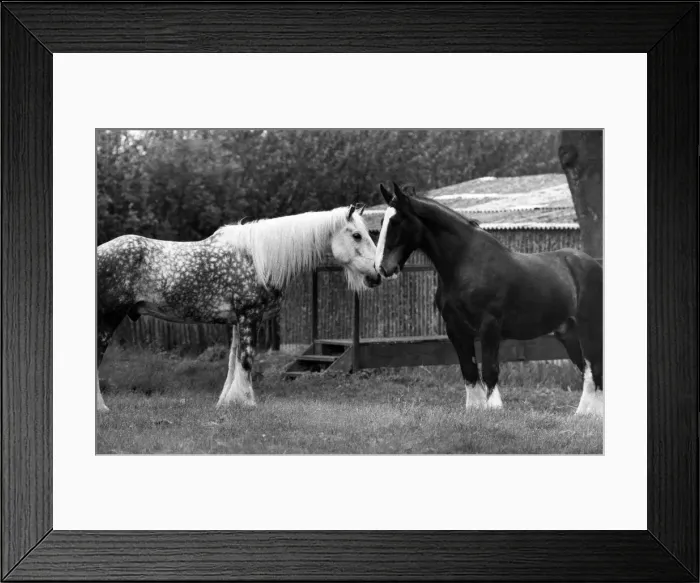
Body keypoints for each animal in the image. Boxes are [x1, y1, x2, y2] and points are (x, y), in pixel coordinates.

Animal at [97, 204, 381, 412]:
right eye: (357, 235)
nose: (377, 274)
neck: (259, 259)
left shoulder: (236, 321)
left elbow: (233, 362)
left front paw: (227, 402)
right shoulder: (249, 317)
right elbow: (246, 360)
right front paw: (246, 402)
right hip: (108, 319)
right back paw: (102, 409)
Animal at [375, 182, 603, 416]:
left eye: (397, 222)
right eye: (382, 222)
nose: (382, 268)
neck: (465, 263)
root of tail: (593, 264)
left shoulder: (489, 326)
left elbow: (490, 369)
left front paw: (494, 409)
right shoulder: (455, 329)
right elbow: (469, 370)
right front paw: (474, 409)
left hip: (589, 329)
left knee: (595, 367)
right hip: (568, 333)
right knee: (587, 370)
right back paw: (583, 414)